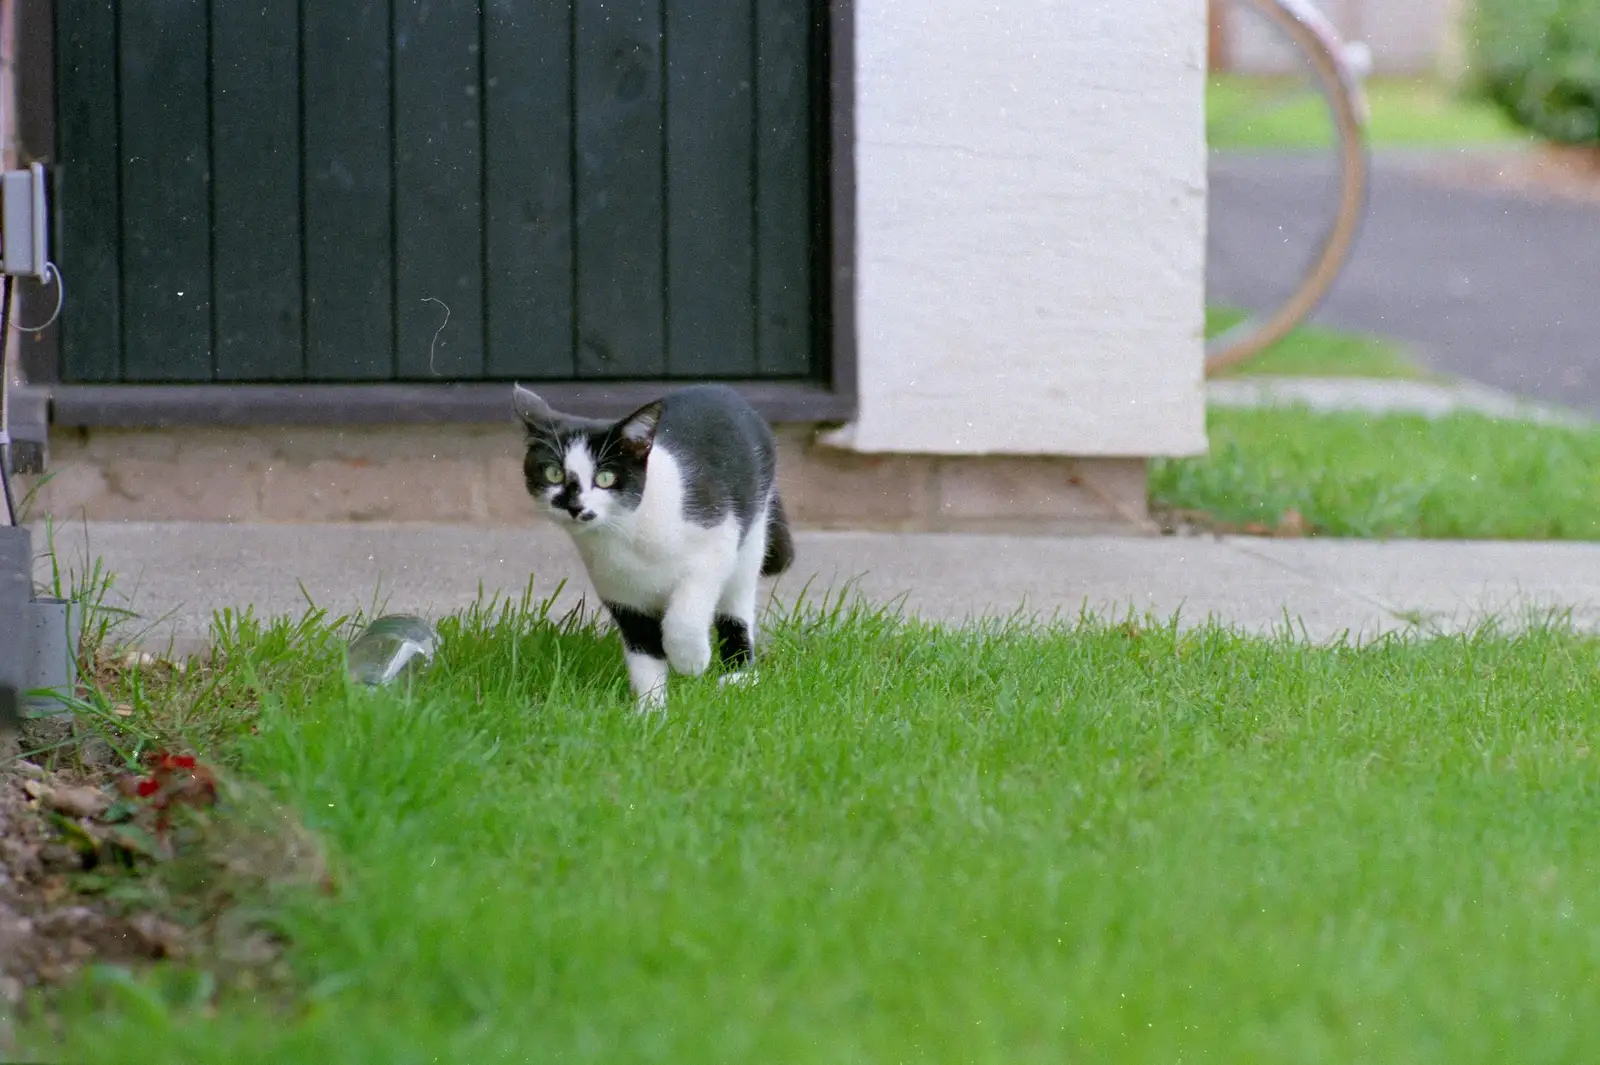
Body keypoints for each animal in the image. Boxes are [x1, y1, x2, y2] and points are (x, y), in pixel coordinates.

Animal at [518, 377, 793, 710]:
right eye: (553, 473)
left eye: (606, 478)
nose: (573, 505)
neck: (626, 533)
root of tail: (723, 390)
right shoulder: (621, 594)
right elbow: (644, 653)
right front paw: (651, 710)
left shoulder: (717, 540)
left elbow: (686, 610)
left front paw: (691, 660)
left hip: (753, 535)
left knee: (737, 604)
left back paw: (738, 676)